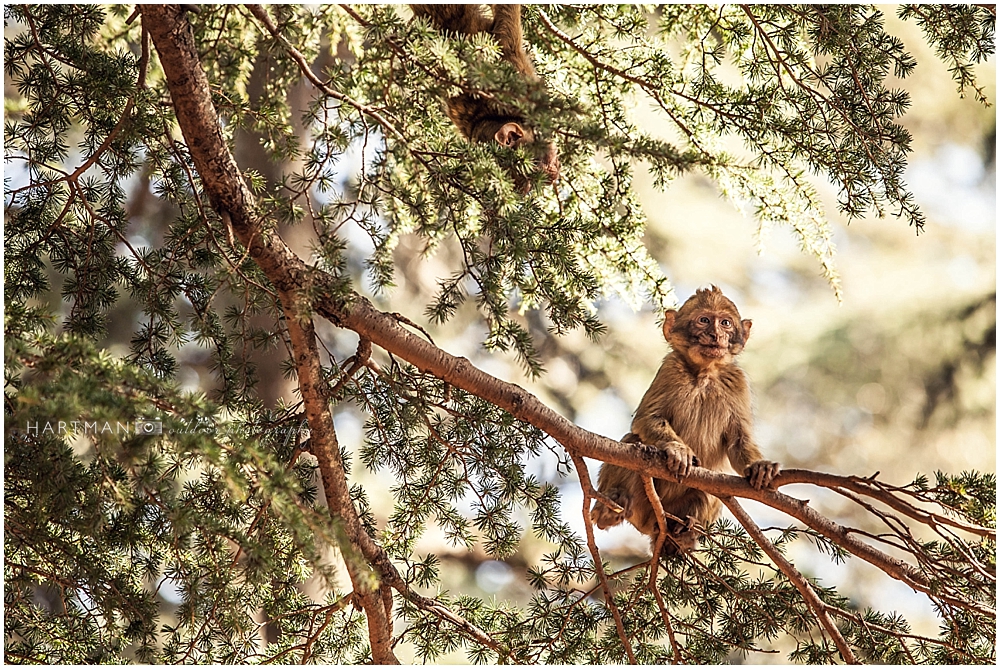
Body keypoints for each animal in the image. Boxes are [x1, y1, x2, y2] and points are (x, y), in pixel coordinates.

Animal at [584, 288, 780, 552]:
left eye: (725, 323)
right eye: (704, 320)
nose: (715, 334)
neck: (704, 374)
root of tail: (653, 525)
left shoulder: (737, 382)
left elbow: (739, 440)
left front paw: (759, 467)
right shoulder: (670, 369)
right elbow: (646, 419)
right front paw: (678, 450)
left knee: (713, 489)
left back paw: (684, 532)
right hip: (642, 507)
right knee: (632, 442)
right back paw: (613, 504)